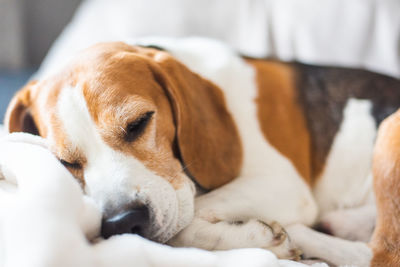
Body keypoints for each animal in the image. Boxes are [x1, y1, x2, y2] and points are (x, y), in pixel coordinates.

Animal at [4, 38, 400, 266]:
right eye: (66, 162)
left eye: (138, 123)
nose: (122, 223)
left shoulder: (283, 186)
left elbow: (186, 224)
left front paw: (259, 238)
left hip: (388, 133)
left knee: (375, 254)